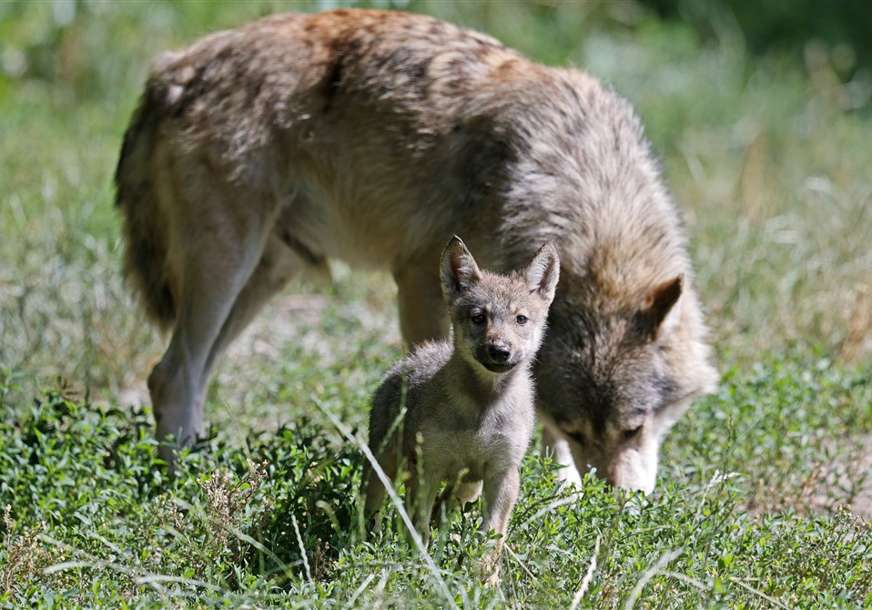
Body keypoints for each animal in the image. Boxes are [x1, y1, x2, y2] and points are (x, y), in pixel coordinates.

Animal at [114, 8, 716, 490]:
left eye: (634, 428)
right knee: (171, 374)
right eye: (578, 429)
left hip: (265, 276)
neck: (571, 179)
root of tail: (174, 66)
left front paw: (561, 497)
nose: (619, 506)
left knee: (188, 375)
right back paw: (184, 482)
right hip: (226, 267)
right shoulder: (421, 282)